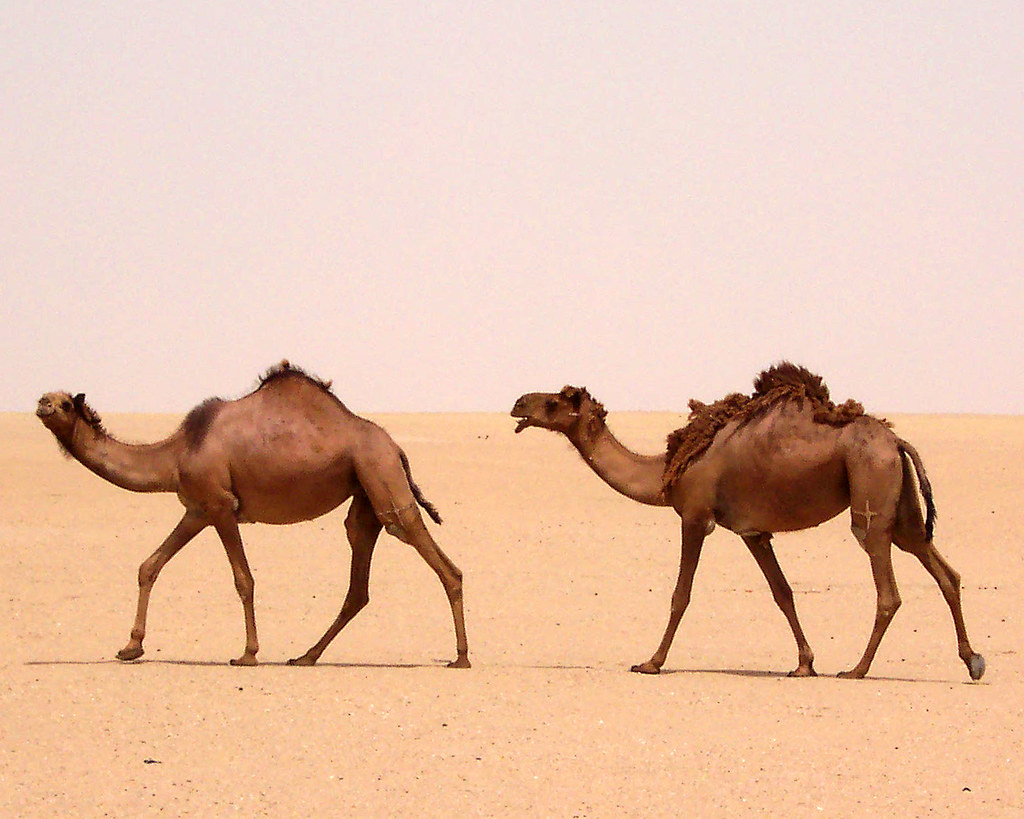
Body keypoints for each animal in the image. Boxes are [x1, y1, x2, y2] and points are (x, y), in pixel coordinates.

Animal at [36, 361, 470, 668]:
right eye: (47, 396)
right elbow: (149, 566)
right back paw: (306, 656)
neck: (178, 453)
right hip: (365, 489)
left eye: (64, 402)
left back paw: (461, 657)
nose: (42, 403)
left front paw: (247, 653)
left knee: (434, 556)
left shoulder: (221, 506)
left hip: (380, 472)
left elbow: (243, 579)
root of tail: (396, 447)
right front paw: (130, 647)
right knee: (358, 570)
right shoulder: (197, 510)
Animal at [511, 363, 984, 681]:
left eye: (553, 402)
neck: (666, 471)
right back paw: (973, 661)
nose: (518, 403)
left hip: (870, 486)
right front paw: (804, 664)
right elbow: (783, 593)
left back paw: (857, 669)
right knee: (941, 567)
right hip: (899, 501)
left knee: (887, 588)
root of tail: (896, 439)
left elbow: (680, 595)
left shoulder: (695, 517)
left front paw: (650, 662)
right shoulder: (752, 531)